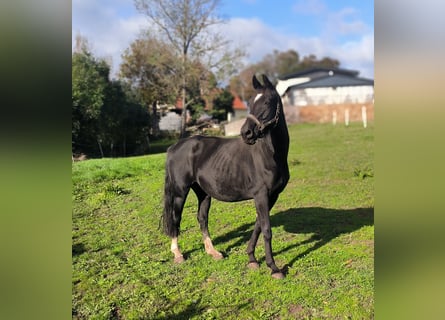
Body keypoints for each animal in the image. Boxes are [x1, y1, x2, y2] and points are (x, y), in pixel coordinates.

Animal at [161, 74, 290, 278]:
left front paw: (252, 259)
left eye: (267, 101)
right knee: (176, 218)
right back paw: (178, 254)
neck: (271, 155)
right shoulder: (261, 195)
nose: (246, 133)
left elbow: (258, 226)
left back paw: (213, 252)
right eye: (250, 102)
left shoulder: (272, 196)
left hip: (203, 193)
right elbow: (266, 230)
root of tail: (174, 147)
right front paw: (274, 268)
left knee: (202, 219)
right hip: (180, 191)